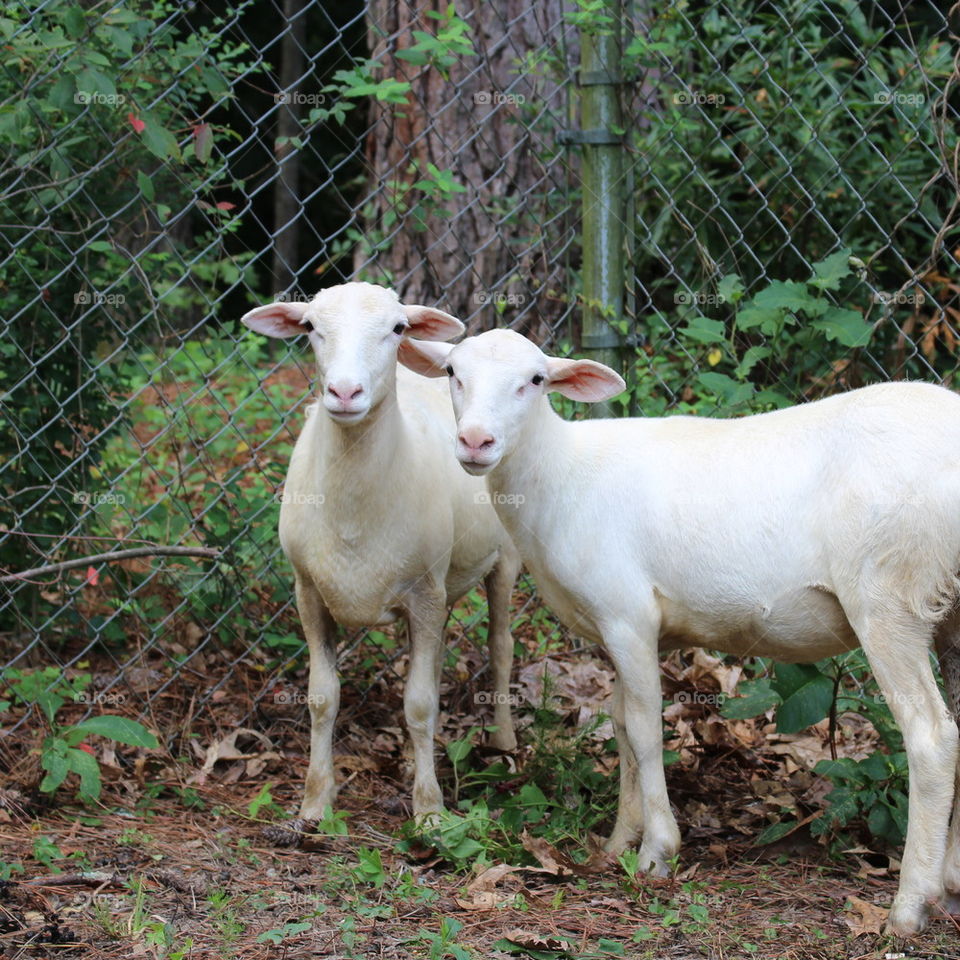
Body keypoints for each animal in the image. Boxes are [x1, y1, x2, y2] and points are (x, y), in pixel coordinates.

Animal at [241, 283, 521, 824]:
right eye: (310, 327)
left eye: (396, 328)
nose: (346, 393)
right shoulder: (308, 590)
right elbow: (322, 698)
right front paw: (315, 803)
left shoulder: (424, 592)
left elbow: (419, 704)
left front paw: (430, 812)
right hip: (441, 584)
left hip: (504, 559)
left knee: (500, 648)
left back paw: (504, 744)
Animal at [400, 326, 960, 936]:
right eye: (452, 372)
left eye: (536, 379)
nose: (475, 441)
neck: (560, 473)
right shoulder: (618, 626)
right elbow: (620, 723)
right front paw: (619, 842)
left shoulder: (627, 615)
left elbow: (646, 731)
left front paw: (657, 852)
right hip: (948, 609)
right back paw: (953, 883)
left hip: (889, 593)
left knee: (931, 738)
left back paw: (910, 906)